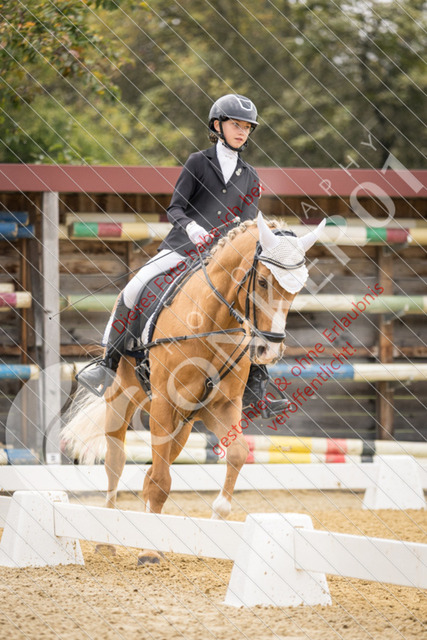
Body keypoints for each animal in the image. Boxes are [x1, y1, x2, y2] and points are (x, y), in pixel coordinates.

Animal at [62, 212, 324, 564]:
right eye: (263, 282)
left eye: (297, 288)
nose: (269, 350)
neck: (212, 322)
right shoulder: (164, 405)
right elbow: (160, 481)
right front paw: (149, 552)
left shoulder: (220, 407)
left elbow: (237, 453)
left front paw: (215, 520)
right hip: (123, 398)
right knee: (115, 461)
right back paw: (107, 538)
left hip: (183, 425)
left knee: (152, 471)